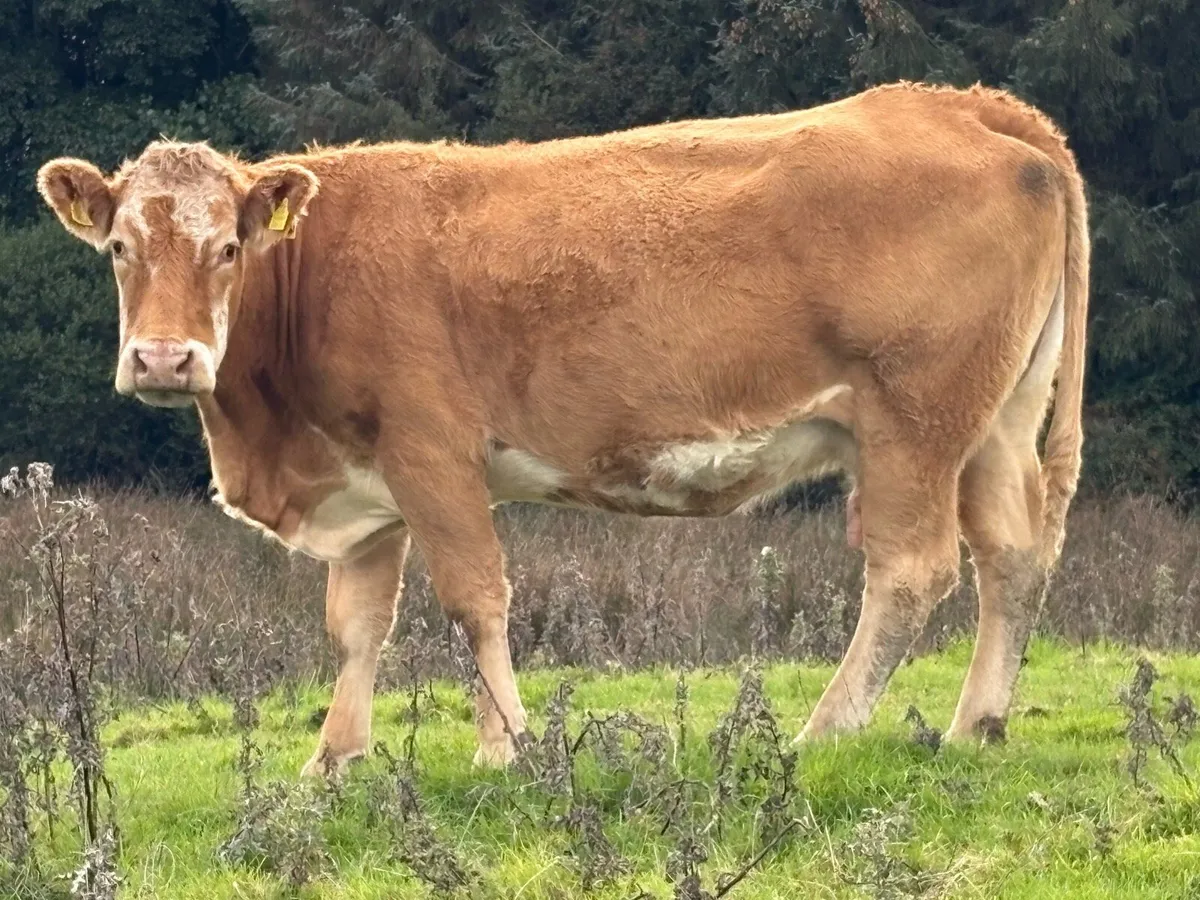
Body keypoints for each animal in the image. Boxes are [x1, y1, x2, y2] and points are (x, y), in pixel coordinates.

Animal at [37, 81, 1088, 775]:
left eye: (227, 248)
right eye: (120, 247)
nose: (164, 360)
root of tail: (958, 103)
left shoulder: (431, 452)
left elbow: (473, 599)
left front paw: (505, 748)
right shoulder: (365, 481)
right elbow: (357, 624)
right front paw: (333, 764)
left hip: (915, 420)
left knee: (911, 571)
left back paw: (824, 731)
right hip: (994, 425)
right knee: (1013, 557)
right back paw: (975, 727)